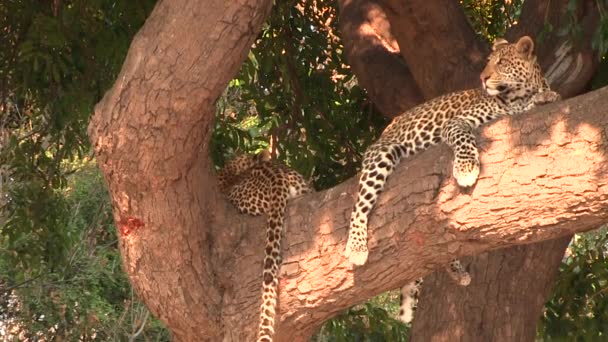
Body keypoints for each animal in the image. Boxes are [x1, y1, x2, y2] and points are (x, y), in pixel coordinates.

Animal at [342, 36, 560, 322]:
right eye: (488, 62)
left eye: (501, 62)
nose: (483, 79)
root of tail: (385, 130)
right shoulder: (458, 122)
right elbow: (465, 137)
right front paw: (466, 169)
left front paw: (546, 97)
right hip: (382, 155)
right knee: (360, 205)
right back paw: (357, 247)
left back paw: (457, 271)